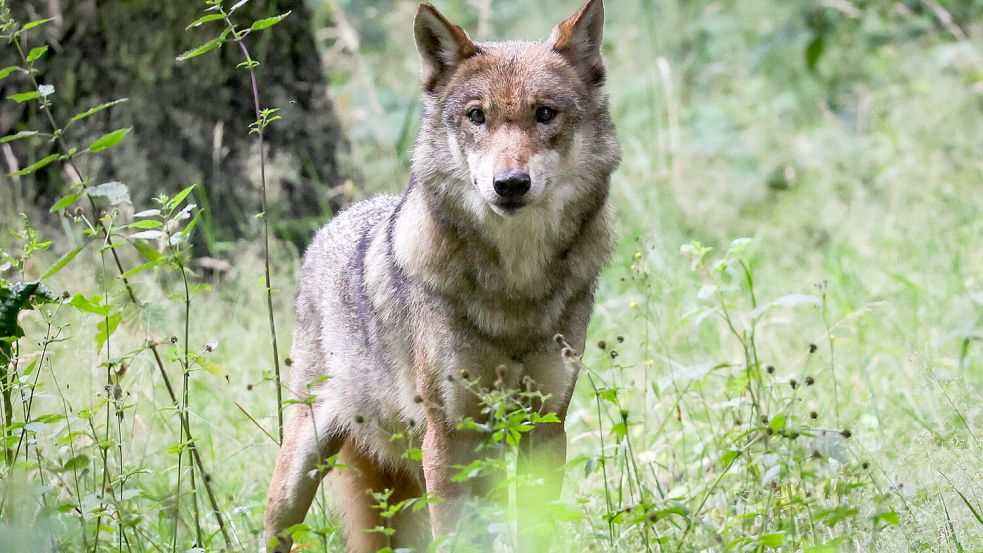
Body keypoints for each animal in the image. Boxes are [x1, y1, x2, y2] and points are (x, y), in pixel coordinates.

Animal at [264, 1, 624, 548]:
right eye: (477, 116)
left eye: (544, 113)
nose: (510, 184)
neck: (514, 286)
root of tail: (331, 225)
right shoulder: (449, 436)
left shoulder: (544, 425)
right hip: (304, 466)